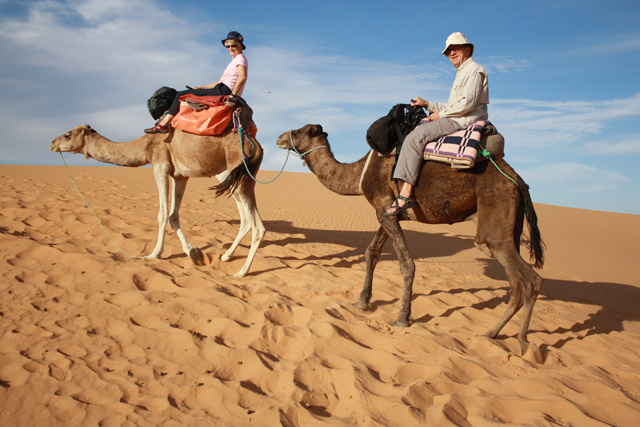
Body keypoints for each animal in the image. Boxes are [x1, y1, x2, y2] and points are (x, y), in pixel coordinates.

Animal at [50, 107, 265, 277]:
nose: (52, 143)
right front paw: (193, 253)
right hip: (239, 177)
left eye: (68, 135)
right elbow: (173, 215)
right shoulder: (179, 175)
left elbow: (162, 214)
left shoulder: (160, 164)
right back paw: (227, 255)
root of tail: (255, 144)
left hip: (235, 170)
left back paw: (241, 272)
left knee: (257, 225)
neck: (144, 144)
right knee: (248, 218)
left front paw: (154, 253)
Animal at [277, 124, 545, 354]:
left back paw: (523, 342)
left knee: (531, 280)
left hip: (494, 224)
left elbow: (407, 264)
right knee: (515, 285)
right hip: (507, 231)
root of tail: (519, 181)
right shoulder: (388, 212)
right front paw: (363, 302)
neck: (360, 173)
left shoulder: (386, 209)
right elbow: (371, 252)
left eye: (299, 131)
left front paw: (402, 318)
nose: (280, 137)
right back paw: (491, 334)